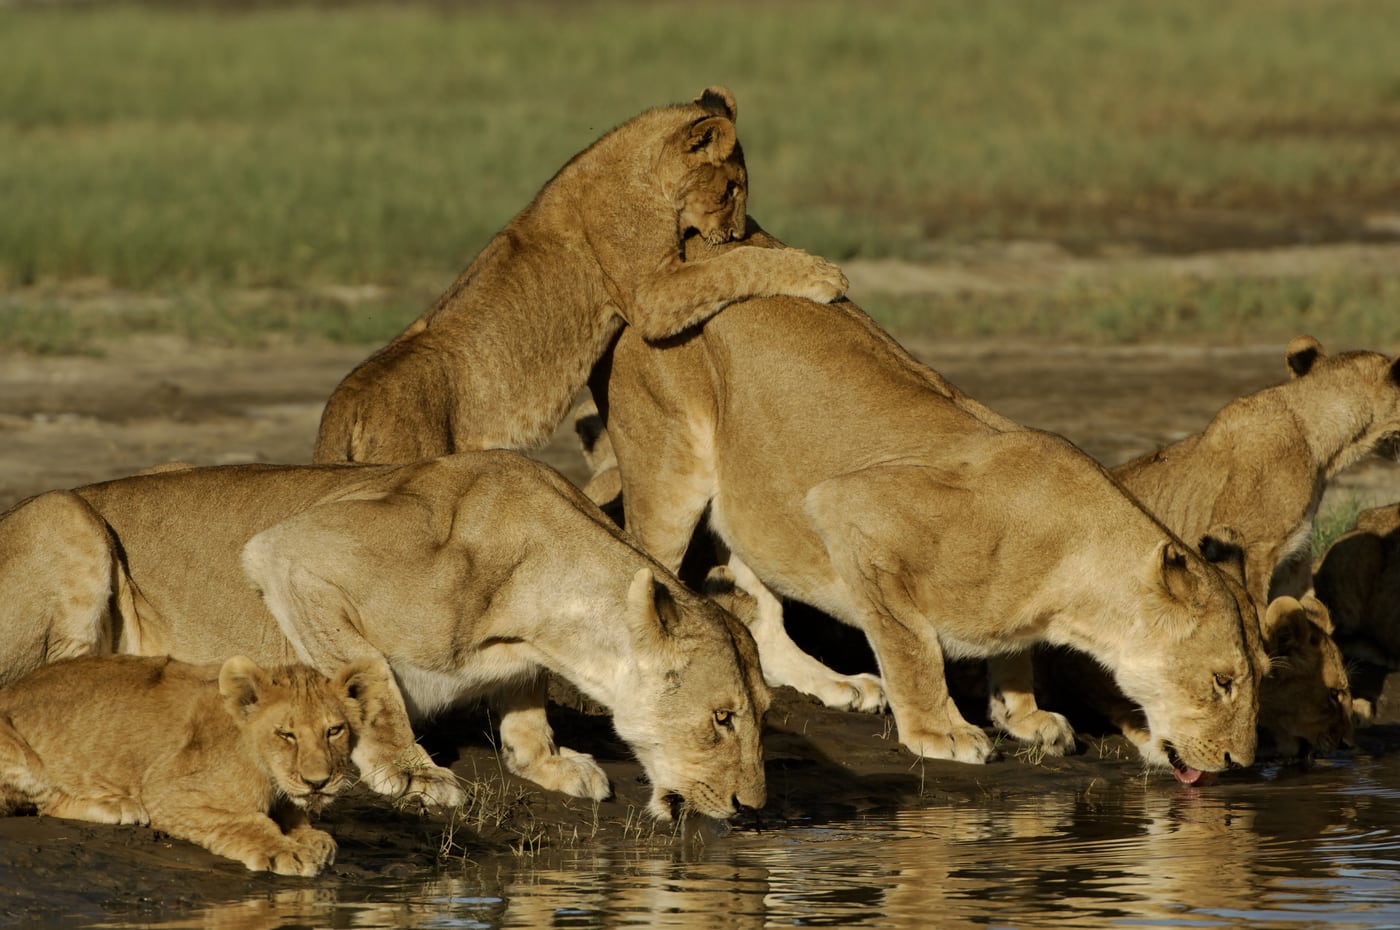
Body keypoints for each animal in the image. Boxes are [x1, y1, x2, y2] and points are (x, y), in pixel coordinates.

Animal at [0, 451, 769, 821]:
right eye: (722, 719)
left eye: (760, 714)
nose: (752, 810)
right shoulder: (290, 552)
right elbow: (368, 673)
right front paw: (411, 770)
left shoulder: (522, 659)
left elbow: (525, 709)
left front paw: (549, 761)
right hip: (69, 516)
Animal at [0, 653, 385, 876]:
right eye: (286, 734)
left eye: (334, 730)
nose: (317, 782)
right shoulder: (168, 791)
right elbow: (246, 821)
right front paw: (285, 851)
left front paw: (313, 838)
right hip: (17, 750)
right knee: (45, 801)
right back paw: (117, 805)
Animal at [312, 86, 847, 464]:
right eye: (731, 188)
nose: (734, 230)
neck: (639, 171)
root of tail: (344, 404)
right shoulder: (650, 296)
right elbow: (737, 265)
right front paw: (822, 273)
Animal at [595, 228, 1267, 782]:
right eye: (1223, 682)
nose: (1240, 763)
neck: (1068, 590)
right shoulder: (849, 507)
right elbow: (911, 644)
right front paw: (940, 732)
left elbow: (1011, 656)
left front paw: (1023, 716)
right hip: (669, 467)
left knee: (757, 607)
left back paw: (836, 684)